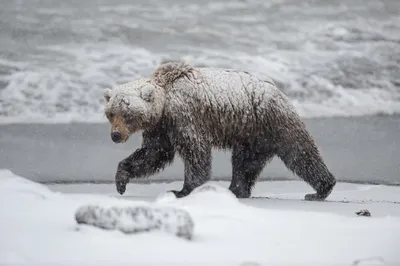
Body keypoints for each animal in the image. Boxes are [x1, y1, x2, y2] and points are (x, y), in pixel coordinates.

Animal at [104, 61, 336, 201]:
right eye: (111, 113)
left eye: (127, 114)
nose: (115, 135)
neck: (165, 102)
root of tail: (279, 90)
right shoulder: (161, 127)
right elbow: (153, 153)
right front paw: (121, 180)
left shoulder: (185, 116)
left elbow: (195, 152)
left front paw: (182, 190)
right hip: (251, 135)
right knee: (245, 163)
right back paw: (236, 189)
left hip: (271, 120)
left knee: (300, 153)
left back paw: (320, 189)